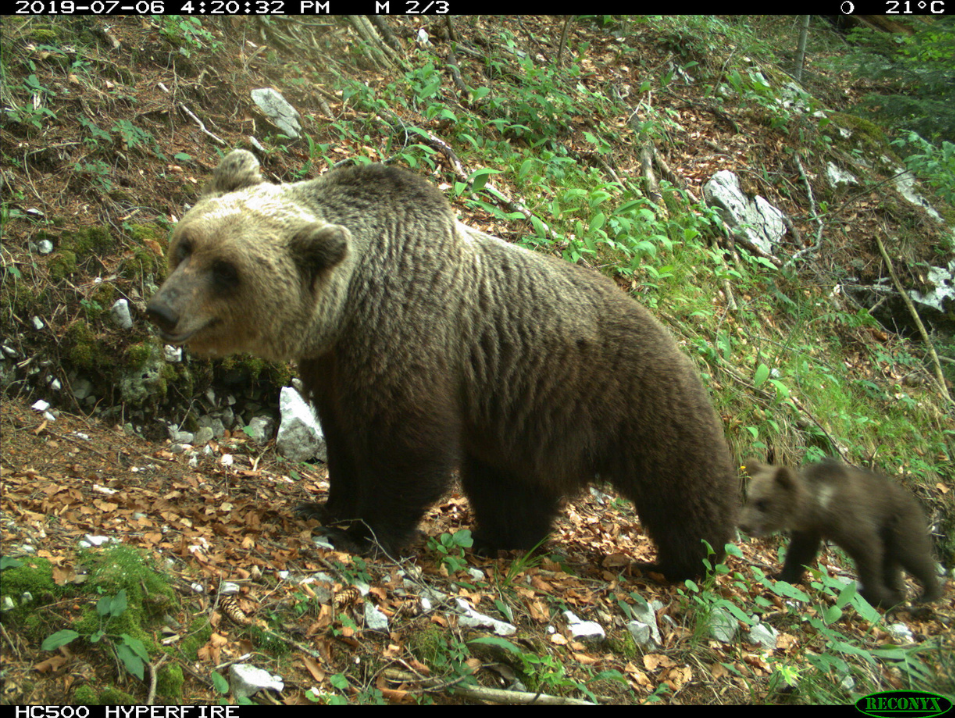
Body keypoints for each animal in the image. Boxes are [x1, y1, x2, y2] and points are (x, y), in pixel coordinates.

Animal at [147, 149, 739, 581]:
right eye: (187, 245)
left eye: (227, 270)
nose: (161, 309)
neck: (350, 307)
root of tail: (681, 339)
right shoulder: (335, 366)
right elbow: (343, 445)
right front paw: (326, 509)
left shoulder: (407, 342)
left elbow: (409, 447)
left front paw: (368, 536)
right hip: (522, 424)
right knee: (508, 487)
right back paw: (503, 540)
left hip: (638, 399)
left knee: (682, 487)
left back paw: (686, 563)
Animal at [740, 459, 942, 606]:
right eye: (749, 498)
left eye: (762, 503)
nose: (743, 525)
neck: (818, 508)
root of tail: (915, 501)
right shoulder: (809, 530)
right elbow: (799, 554)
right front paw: (780, 576)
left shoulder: (850, 521)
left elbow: (869, 551)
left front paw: (877, 595)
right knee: (891, 565)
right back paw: (899, 593)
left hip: (901, 524)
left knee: (913, 555)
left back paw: (929, 593)